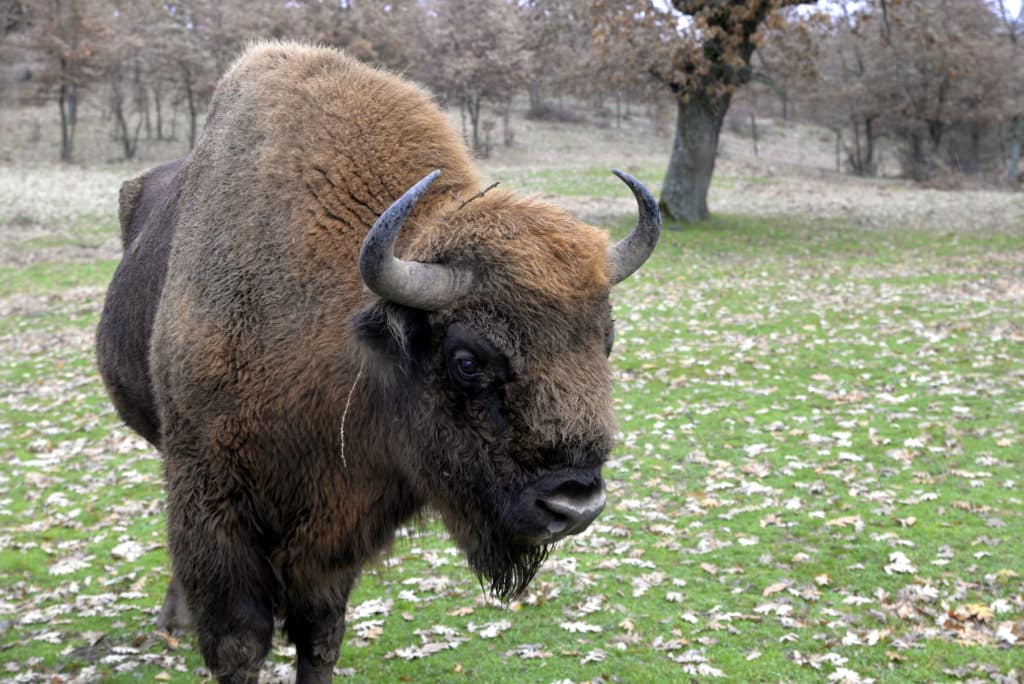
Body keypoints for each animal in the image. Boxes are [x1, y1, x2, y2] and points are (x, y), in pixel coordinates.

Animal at [94, 44, 655, 684]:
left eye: (605, 340)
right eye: (466, 360)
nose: (575, 502)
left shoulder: (337, 527)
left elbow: (320, 635)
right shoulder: (215, 510)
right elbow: (240, 644)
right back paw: (175, 620)